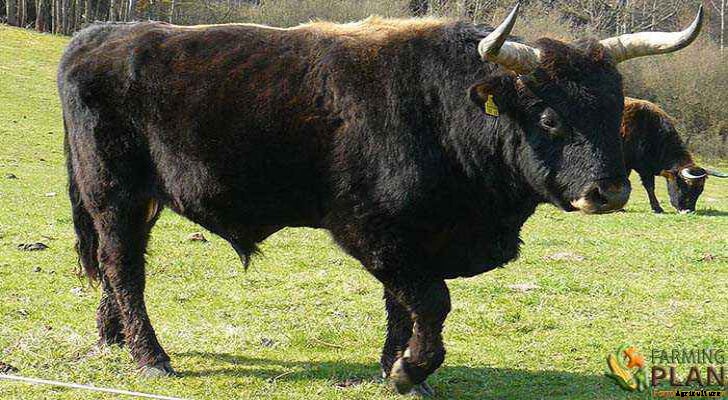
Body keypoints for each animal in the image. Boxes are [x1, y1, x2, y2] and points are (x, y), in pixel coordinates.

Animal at [58, 4, 703, 395]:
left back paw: (112, 338)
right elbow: (432, 301)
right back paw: (150, 355)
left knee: (118, 265)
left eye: (613, 108)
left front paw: (397, 366)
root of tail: (100, 34)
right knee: (123, 265)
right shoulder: (373, 231)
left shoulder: (415, 239)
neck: (443, 112)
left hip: (139, 201)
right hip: (113, 193)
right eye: (549, 115)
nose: (609, 190)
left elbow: (404, 304)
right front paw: (410, 369)